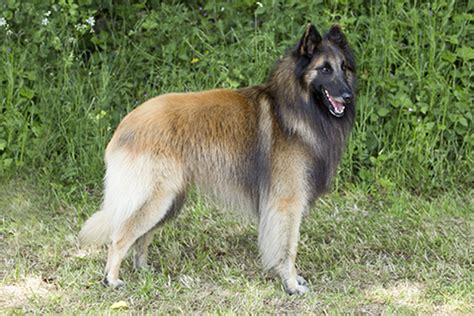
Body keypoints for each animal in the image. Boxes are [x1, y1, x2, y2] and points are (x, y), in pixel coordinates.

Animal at [80, 23, 356, 296]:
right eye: (324, 68)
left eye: (343, 67)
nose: (348, 96)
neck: (296, 107)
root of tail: (126, 123)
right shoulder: (287, 203)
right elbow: (288, 248)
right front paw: (291, 284)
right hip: (155, 199)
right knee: (120, 237)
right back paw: (112, 279)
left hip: (169, 202)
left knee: (141, 237)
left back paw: (144, 270)